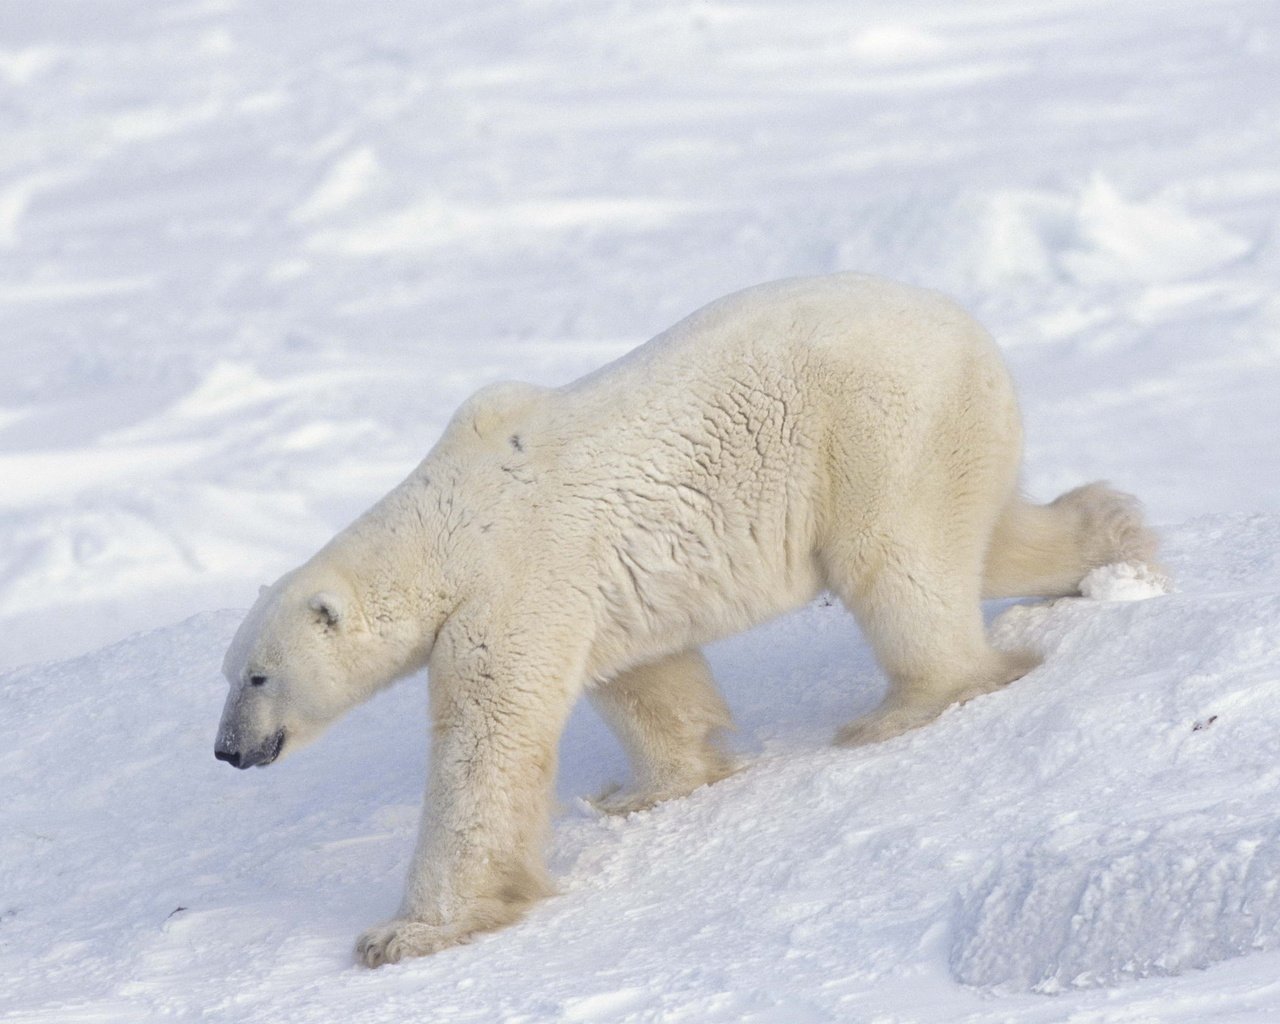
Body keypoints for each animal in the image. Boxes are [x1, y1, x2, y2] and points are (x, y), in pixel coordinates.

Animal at [212, 273, 1162, 967]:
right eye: (227, 676)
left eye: (259, 675)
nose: (226, 750)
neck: (446, 523)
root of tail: (974, 335)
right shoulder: (591, 588)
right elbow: (644, 679)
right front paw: (650, 789)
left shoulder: (517, 580)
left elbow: (485, 748)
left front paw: (404, 933)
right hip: (949, 439)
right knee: (988, 535)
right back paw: (1117, 544)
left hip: (878, 433)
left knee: (898, 563)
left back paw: (902, 709)